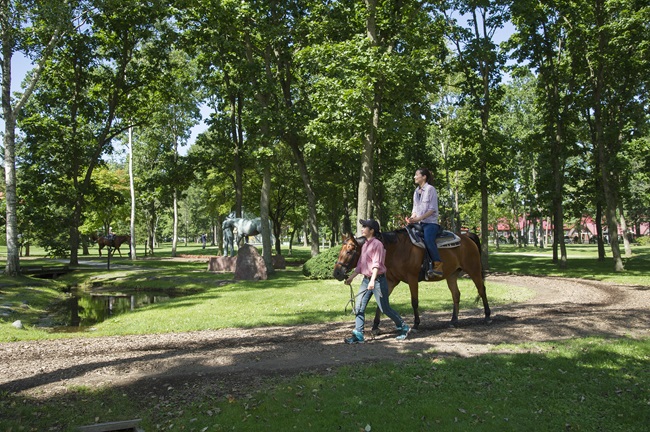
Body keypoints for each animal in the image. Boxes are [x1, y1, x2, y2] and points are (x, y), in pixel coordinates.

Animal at [332, 230, 488, 330]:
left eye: (349, 251)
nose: (337, 273)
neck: (395, 250)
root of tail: (467, 236)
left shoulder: (412, 279)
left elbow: (414, 302)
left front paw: (416, 323)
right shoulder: (391, 282)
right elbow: (381, 303)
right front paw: (375, 326)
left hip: (473, 270)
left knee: (481, 290)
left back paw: (487, 316)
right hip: (452, 275)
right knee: (456, 295)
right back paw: (454, 321)